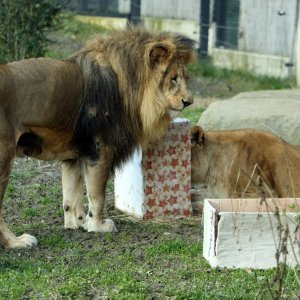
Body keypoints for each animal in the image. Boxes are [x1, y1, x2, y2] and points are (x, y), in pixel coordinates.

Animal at [0, 27, 195, 248]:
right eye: (173, 78)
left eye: (187, 78)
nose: (189, 101)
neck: (128, 84)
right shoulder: (101, 149)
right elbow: (97, 194)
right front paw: (98, 225)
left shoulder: (74, 155)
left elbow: (71, 196)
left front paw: (77, 223)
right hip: (5, 158)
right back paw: (17, 242)